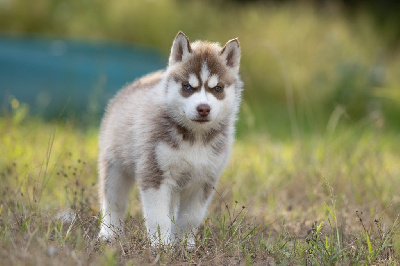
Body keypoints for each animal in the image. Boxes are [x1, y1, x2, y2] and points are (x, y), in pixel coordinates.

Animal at [99, 31, 244, 247]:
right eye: (188, 87)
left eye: (217, 88)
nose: (203, 108)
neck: (195, 137)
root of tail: (136, 84)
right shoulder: (155, 174)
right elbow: (158, 216)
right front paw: (161, 245)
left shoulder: (203, 181)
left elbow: (190, 217)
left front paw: (185, 244)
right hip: (115, 167)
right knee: (113, 202)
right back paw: (109, 233)